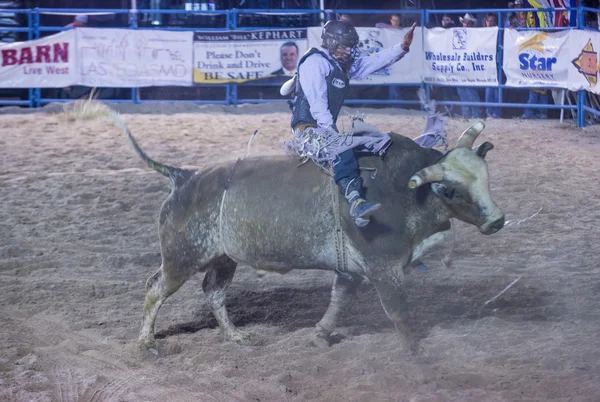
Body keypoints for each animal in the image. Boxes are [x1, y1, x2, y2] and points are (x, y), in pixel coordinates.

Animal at [101, 106, 504, 354]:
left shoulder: (352, 268)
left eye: (485, 178)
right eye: (451, 190)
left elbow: (340, 299)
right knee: (156, 288)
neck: (403, 189)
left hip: (222, 257)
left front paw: (320, 336)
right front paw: (416, 351)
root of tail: (184, 176)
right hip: (182, 255)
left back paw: (235, 335)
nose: (497, 220)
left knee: (213, 292)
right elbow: (397, 310)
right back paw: (147, 343)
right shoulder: (383, 265)